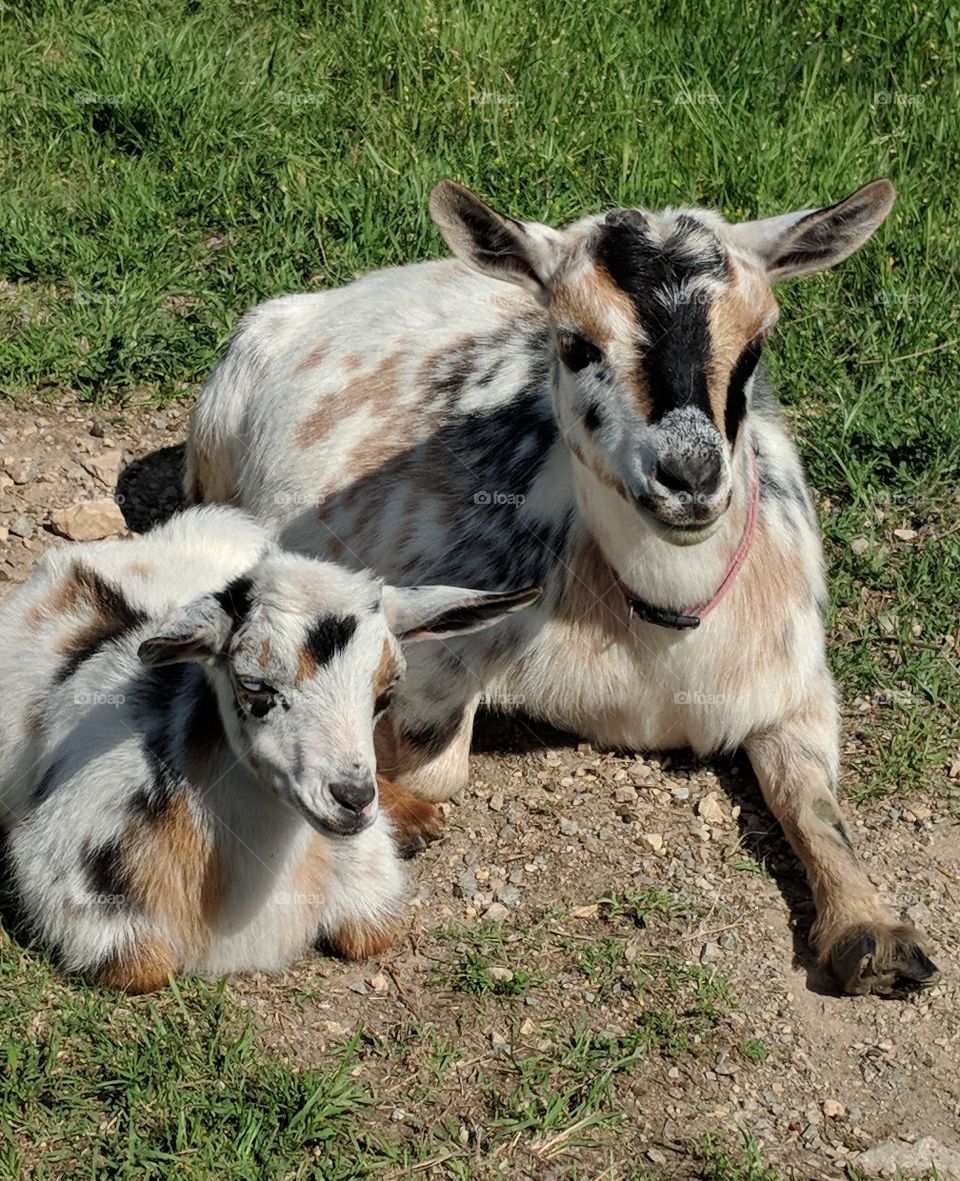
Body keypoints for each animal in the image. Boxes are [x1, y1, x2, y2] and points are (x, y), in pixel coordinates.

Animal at [0, 505, 538, 987]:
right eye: (254, 686)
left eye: (386, 694)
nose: (352, 799)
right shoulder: (65, 873)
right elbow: (146, 967)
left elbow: (370, 934)